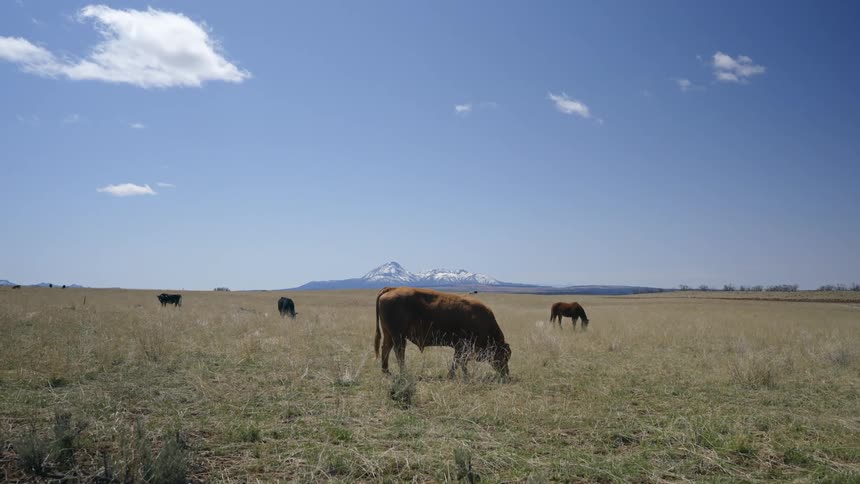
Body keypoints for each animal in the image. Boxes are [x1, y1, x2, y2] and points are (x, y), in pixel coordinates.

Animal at [375, 287, 511, 379]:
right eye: (504, 356)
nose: (506, 373)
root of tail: (392, 289)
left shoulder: (460, 348)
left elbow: (459, 362)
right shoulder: (462, 347)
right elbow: (458, 362)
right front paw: (455, 375)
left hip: (389, 334)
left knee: (386, 348)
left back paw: (386, 371)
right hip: (398, 336)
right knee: (399, 352)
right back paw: (404, 373)